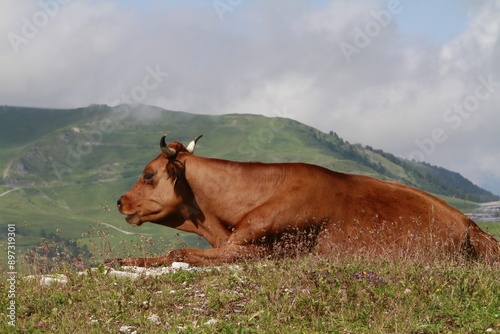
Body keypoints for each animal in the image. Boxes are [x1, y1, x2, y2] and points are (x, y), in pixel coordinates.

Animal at [114, 134, 500, 268]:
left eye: (148, 174)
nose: (120, 201)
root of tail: (470, 224)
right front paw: (121, 258)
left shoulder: (264, 245)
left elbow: (178, 252)